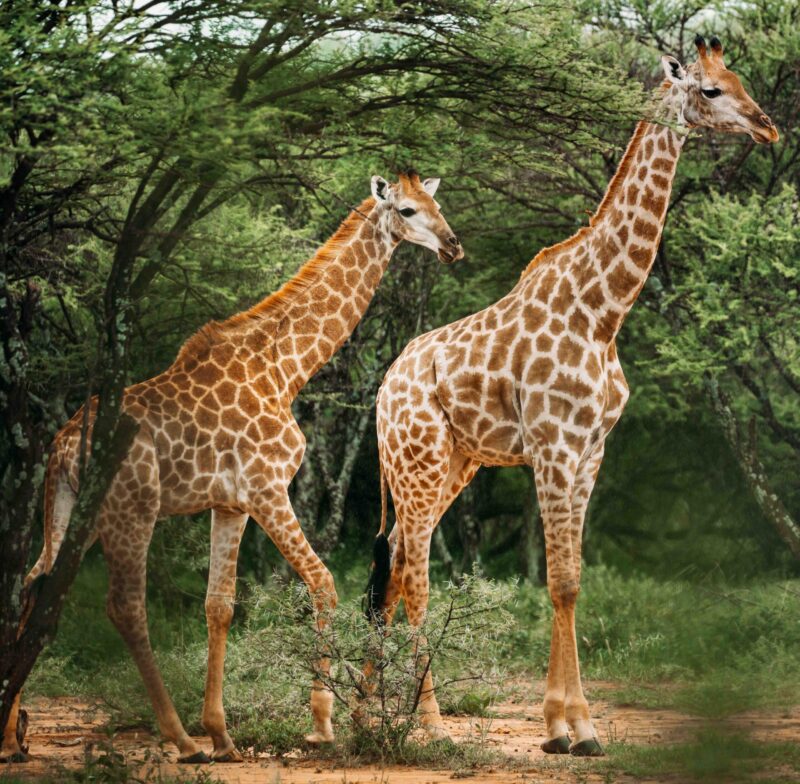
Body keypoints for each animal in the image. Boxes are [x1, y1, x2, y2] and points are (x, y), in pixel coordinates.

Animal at [1, 172, 464, 764]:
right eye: (407, 210)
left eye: (436, 203)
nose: (452, 245)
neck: (285, 368)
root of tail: (64, 447)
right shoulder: (267, 488)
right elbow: (323, 583)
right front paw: (320, 723)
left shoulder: (229, 502)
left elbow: (218, 604)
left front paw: (223, 735)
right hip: (133, 510)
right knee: (123, 605)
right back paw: (178, 739)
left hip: (67, 507)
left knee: (34, 584)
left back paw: (11, 737)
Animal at [364, 37, 778, 755]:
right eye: (710, 90)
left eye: (739, 77)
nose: (768, 126)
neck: (604, 310)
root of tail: (386, 388)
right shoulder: (554, 446)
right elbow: (558, 582)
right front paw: (571, 729)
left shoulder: (590, 452)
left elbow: (575, 581)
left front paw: (569, 723)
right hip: (417, 462)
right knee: (412, 570)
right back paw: (426, 720)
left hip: (451, 465)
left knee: (391, 564)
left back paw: (357, 711)